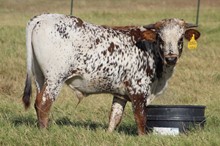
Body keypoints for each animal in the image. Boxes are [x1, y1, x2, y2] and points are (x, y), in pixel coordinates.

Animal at [22, 13, 201, 135]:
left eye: (180, 39)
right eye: (160, 38)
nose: (171, 58)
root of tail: (45, 17)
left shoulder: (120, 94)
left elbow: (115, 117)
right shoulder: (138, 90)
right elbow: (141, 118)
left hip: (40, 77)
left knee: (38, 103)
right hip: (55, 78)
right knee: (44, 103)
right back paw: (44, 132)